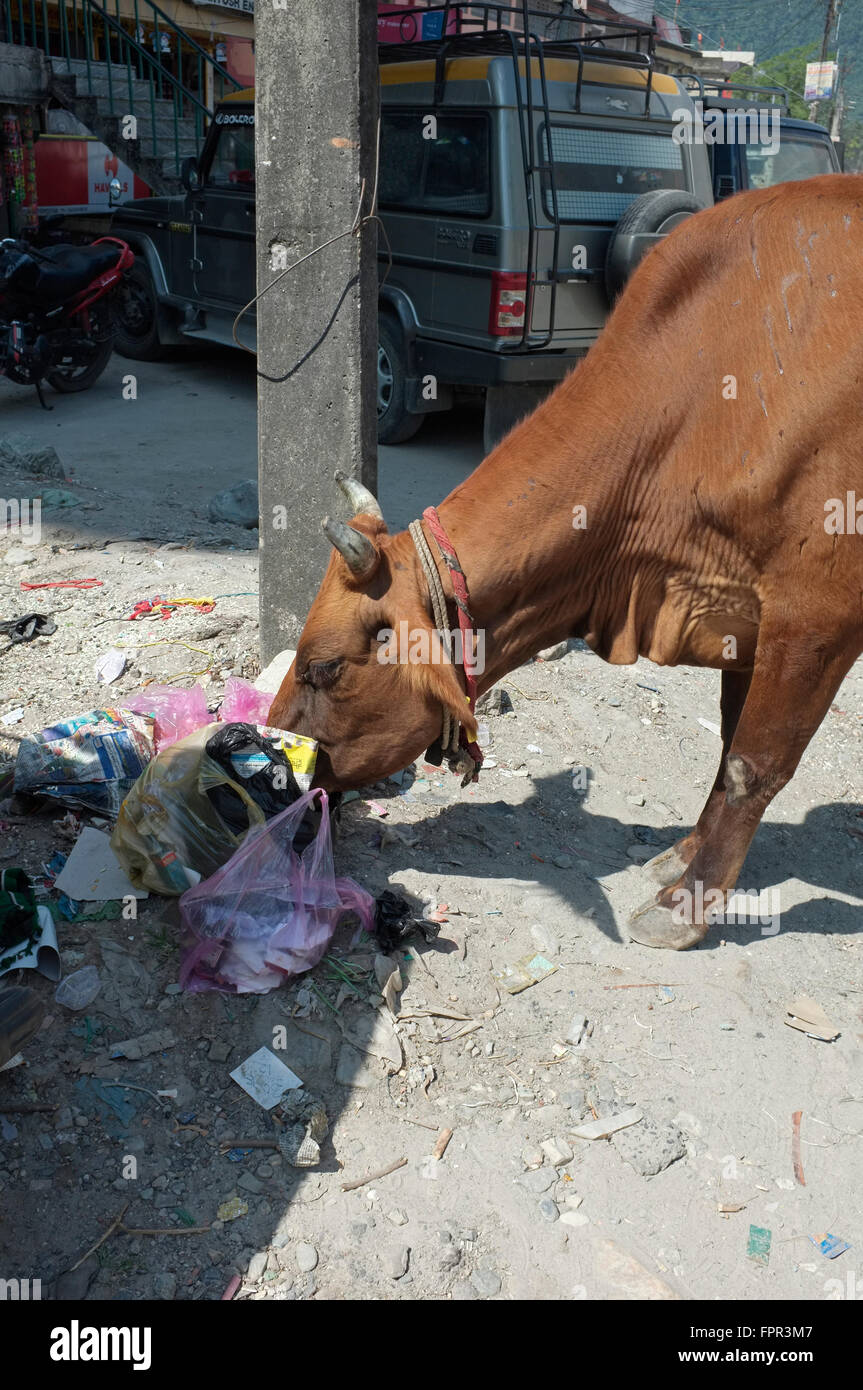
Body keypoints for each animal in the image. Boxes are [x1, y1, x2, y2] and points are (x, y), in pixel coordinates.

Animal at [269, 173, 861, 950]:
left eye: (326, 667)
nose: (271, 764)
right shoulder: (744, 616)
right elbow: (729, 745)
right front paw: (680, 857)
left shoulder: (816, 615)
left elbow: (748, 764)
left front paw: (688, 905)